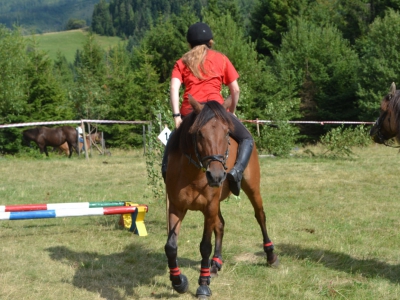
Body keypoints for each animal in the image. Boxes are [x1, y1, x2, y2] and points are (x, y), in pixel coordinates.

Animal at [164, 95, 276, 298]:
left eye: (226, 134)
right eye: (199, 133)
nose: (216, 176)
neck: (193, 174)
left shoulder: (209, 207)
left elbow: (204, 246)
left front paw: (203, 285)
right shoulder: (176, 207)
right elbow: (171, 246)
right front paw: (178, 282)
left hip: (252, 189)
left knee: (260, 216)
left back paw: (271, 256)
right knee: (221, 224)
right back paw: (216, 263)